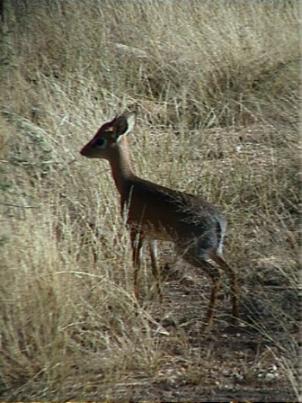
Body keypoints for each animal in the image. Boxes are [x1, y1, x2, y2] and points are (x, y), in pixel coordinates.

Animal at [79, 111, 238, 332]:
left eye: (100, 140)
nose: (83, 151)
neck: (128, 184)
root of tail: (217, 221)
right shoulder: (152, 236)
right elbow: (154, 266)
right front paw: (161, 300)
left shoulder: (134, 230)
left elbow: (136, 262)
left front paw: (137, 300)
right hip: (214, 250)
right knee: (231, 271)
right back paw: (234, 318)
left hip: (190, 252)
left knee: (216, 274)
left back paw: (207, 323)